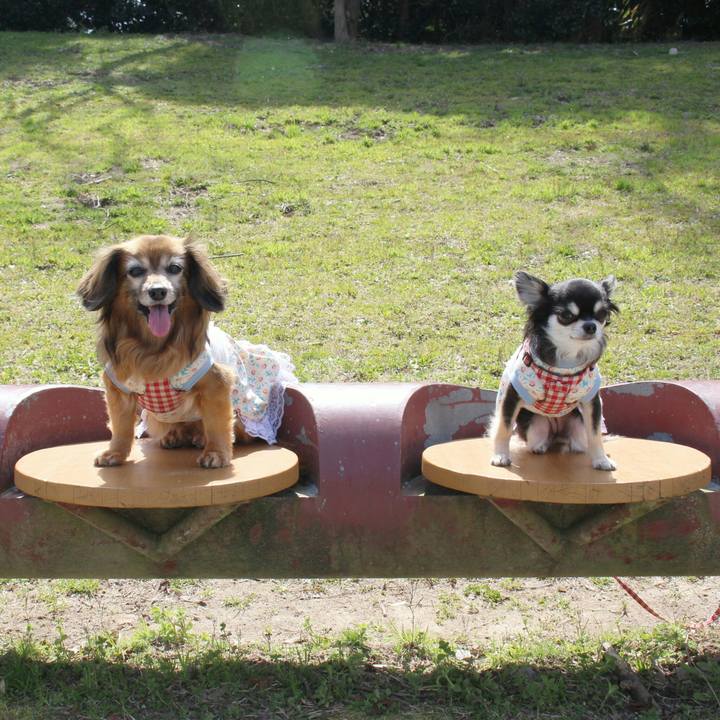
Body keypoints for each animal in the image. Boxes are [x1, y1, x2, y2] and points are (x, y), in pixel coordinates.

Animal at [77, 234, 295, 469]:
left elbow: (217, 425)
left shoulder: (216, 385)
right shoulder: (119, 390)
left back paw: (201, 438)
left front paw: (216, 453)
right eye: (135, 271)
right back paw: (175, 435)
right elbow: (121, 427)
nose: (158, 291)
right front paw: (115, 453)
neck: (154, 347)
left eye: (174, 268)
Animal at [489, 271, 619, 471]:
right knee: (539, 440)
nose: (591, 326)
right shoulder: (512, 395)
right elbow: (504, 427)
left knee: (579, 442)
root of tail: (558, 434)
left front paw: (601, 460)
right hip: (537, 425)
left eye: (601, 314)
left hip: (577, 426)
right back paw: (540, 447)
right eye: (566, 315)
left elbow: (595, 433)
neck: (566, 357)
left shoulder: (591, 401)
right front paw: (500, 456)